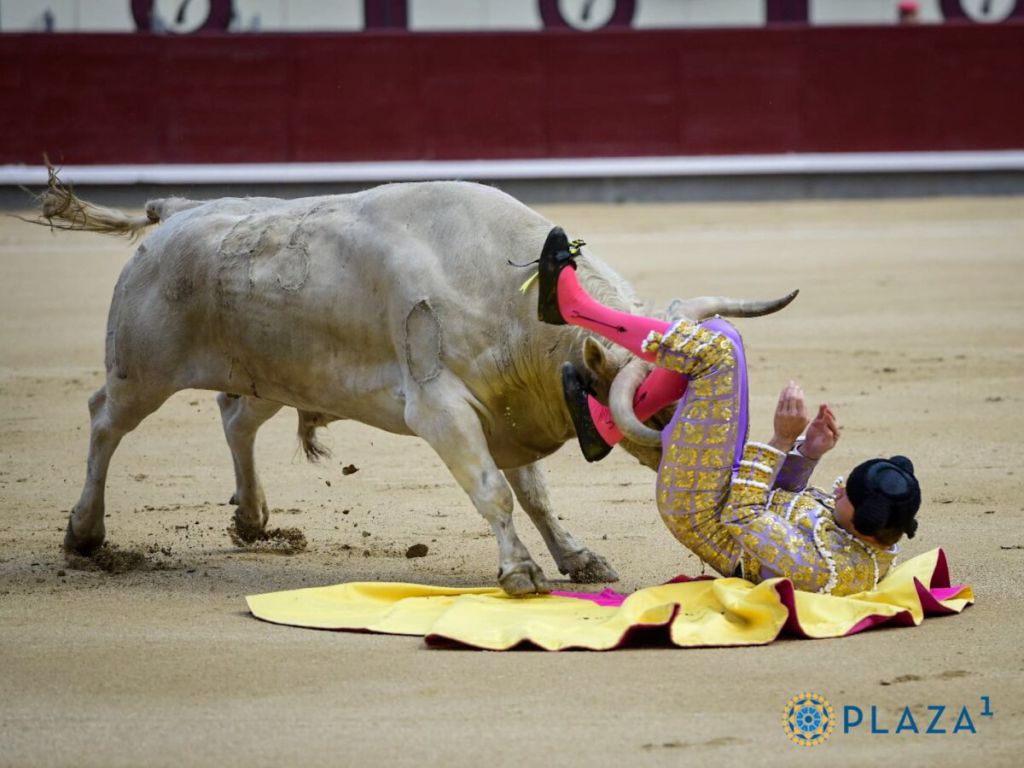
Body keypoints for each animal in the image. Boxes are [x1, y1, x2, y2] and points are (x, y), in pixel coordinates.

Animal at [32, 174, 794, 593]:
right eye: (657, 404)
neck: (521, 295)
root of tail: (178, 212)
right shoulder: (443, 410)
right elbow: (494, 494)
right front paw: (520, 572)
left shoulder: (508, 413)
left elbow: (537, 496)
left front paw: (578, 557)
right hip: (141, 368)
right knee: (105, 421)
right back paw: (85, 536)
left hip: (272, 373)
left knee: (235, 418)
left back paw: (252, 519)